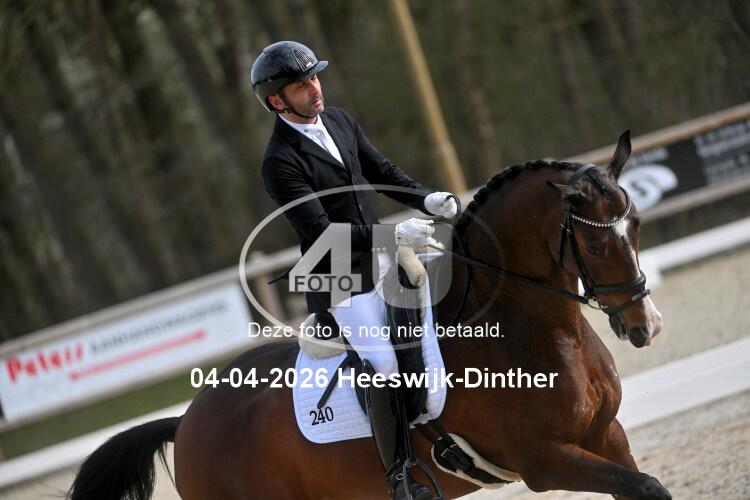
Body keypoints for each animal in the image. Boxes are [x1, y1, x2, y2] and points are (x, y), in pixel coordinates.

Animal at [67, 131, 672, 500]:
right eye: (595, 246)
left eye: (638, 224)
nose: (645, 327)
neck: (535, 330)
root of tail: (187, 420)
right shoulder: (543, 460)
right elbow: (645, 487)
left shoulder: (606, 434)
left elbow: (646, 486)